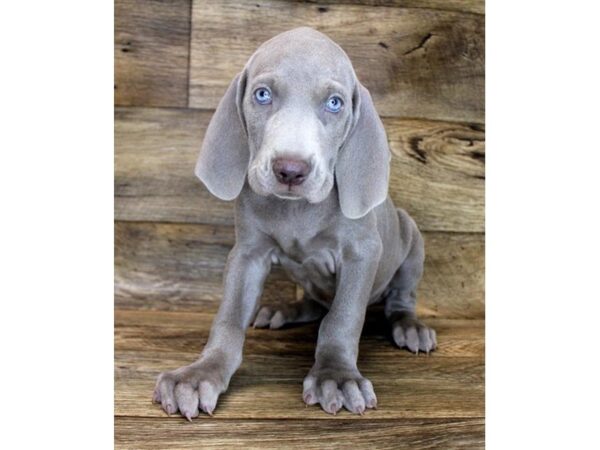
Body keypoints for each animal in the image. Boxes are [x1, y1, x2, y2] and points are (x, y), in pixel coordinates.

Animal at [155, 27, 436, 418]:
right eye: (262, 95)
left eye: (334, 103)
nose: (290, 169)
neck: (298, 211)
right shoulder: (248, 254)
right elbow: (228, 318)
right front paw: (200, 375)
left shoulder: (362, 252)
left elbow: (343, 318)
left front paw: (336, 376)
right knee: (316, 302)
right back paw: (283, 310)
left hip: (411, 237)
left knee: (398, 298)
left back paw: (409, 326)